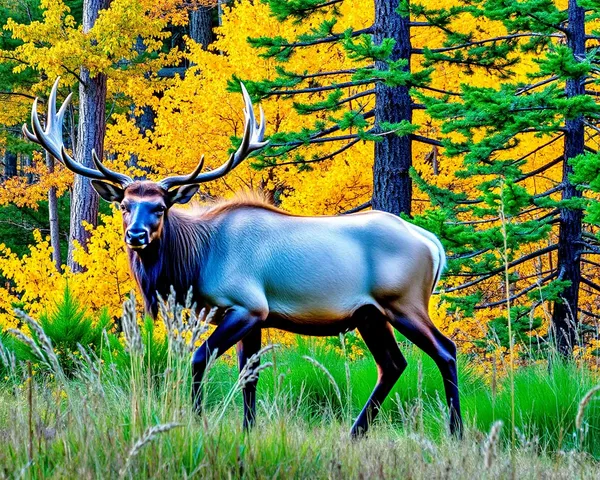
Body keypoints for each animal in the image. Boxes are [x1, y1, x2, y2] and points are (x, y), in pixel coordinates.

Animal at [24, 77, 464, 436]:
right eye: (124, 206)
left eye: (160, 208)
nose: (136, 236)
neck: (195, 263)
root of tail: (433, 244)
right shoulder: (256, 316)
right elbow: (248, 377)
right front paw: (247, 431)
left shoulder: (246, 305)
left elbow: (199, 358)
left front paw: (197, 420)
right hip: (369, 314)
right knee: (393, 364)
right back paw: (356, 432)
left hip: (404, 302)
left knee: (444, 350)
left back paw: (456, 431)